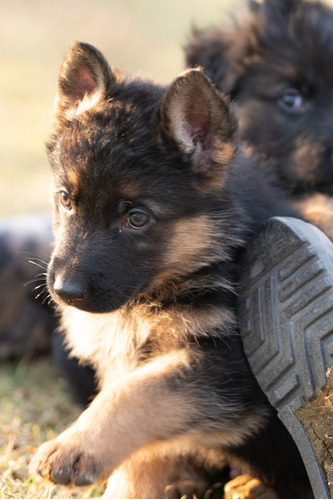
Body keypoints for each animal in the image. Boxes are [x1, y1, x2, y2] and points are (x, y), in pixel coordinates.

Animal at [29, 42, 310, 496]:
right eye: (66, 199)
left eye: (137, 218)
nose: (64, 292)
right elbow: (144, 440)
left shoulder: (231, 371)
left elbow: (140, 392)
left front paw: (76, 447)